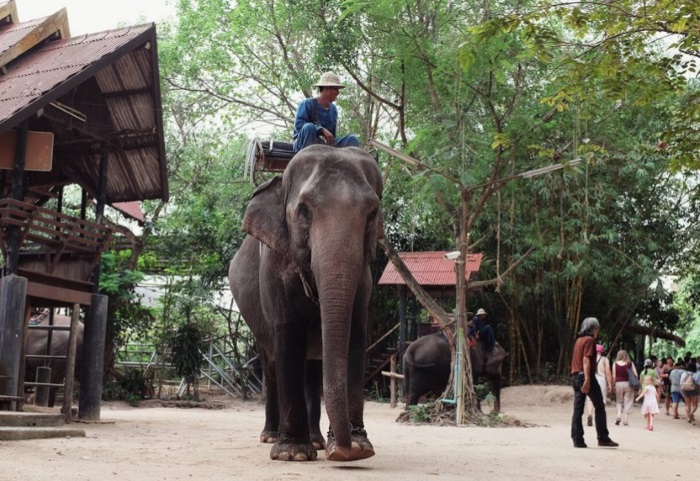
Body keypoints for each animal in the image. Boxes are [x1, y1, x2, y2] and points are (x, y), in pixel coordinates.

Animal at [228, 145, 382, 462]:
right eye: (303, 211)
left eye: (373, 213)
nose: (344, 451)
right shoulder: (274, 268)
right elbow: (288, 335)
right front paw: (293, 453)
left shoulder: (364, 277)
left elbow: (355, 336)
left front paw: (359, 448)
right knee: (271, 364)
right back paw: (271, 436)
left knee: (311, 369)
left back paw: (317, 441)